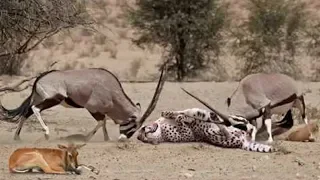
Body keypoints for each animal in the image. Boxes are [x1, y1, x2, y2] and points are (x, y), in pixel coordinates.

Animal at [138, 107, 276, 153]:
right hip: (214, 134)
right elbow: (183, 117)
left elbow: (181, 113)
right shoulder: (188, 132)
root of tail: (243, 141)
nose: (144, 130)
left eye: (142, 133)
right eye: (143, 137)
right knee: (227, 129)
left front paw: (169, 113)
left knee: (245, 124)